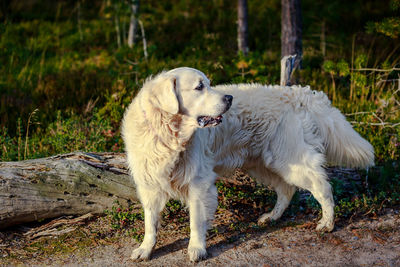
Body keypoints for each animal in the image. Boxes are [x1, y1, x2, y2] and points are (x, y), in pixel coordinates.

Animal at [121, 66, 376, 262]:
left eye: (208, 84)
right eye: (199, 87)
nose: (229, 99)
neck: (167, 134)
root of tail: (302, 94)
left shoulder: (199, 183)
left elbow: (196, 221)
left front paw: (197, 249)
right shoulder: (149, 185)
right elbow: (150, 223)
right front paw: (145, 249)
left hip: (290, 160)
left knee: (322, 188)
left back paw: (327, 223)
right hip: (265, 164)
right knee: (287, 189)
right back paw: (272, 217)